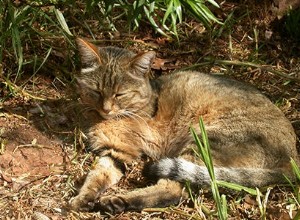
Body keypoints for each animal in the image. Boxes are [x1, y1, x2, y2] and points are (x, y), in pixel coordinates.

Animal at [68, 37, 298, 213]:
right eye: (96, 91)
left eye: (120, 94)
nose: (106, 109)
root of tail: (292, 157)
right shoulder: (115, 152)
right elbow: (96, 175)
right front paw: (82, 198)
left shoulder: (132, 148)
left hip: (202, 140)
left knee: (174, 189)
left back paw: (119, 201)